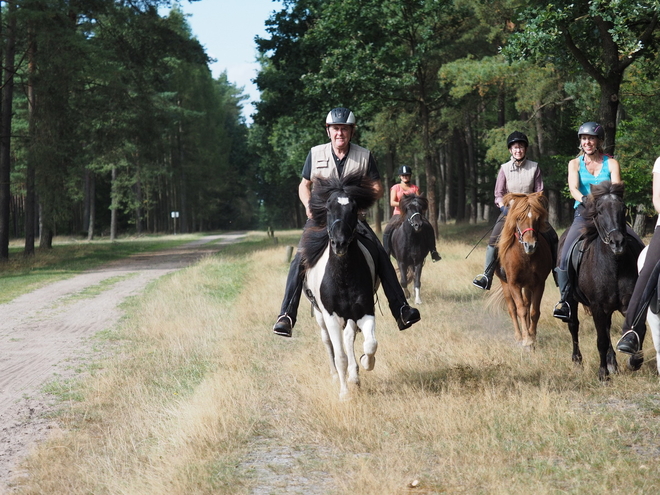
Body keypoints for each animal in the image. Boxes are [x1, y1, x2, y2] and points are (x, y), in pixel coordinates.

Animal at [300, 172, 382, 402]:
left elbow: (370, 344)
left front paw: (365, 363)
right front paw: (344, 394)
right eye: (328, 208)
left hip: (351, 315)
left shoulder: (365, 311)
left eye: (353, 209)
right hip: (321, 317)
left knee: (349, 338)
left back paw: (355, 376)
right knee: (328, 342)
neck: (343, 275)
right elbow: (340, 357)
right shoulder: (332, 317)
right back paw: (336, 376)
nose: (339, 243)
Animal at [496, 192, 552, 350]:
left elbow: (534, 311)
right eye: (519, 218)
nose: (530, 245)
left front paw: (532, 337)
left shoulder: (539, 283)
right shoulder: (513, 284)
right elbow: (520, 309)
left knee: (527, 305)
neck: (525, 256)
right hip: (505, 284)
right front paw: (526, 339)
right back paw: (518, 336)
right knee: (513, 309)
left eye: (537, 218)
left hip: (527, 285)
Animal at [560, 181, 648, 380]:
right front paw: (603, 375)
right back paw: (578, 361)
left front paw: (634, 361)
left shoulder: (627, 303)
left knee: (606, 330)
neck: (614, 265)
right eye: (599, 211)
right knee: (574, 326)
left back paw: (612, 363)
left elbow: (637, 329)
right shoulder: (597, 307)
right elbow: (601, 340)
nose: (617, 242)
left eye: (622, 209)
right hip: (572, 300)